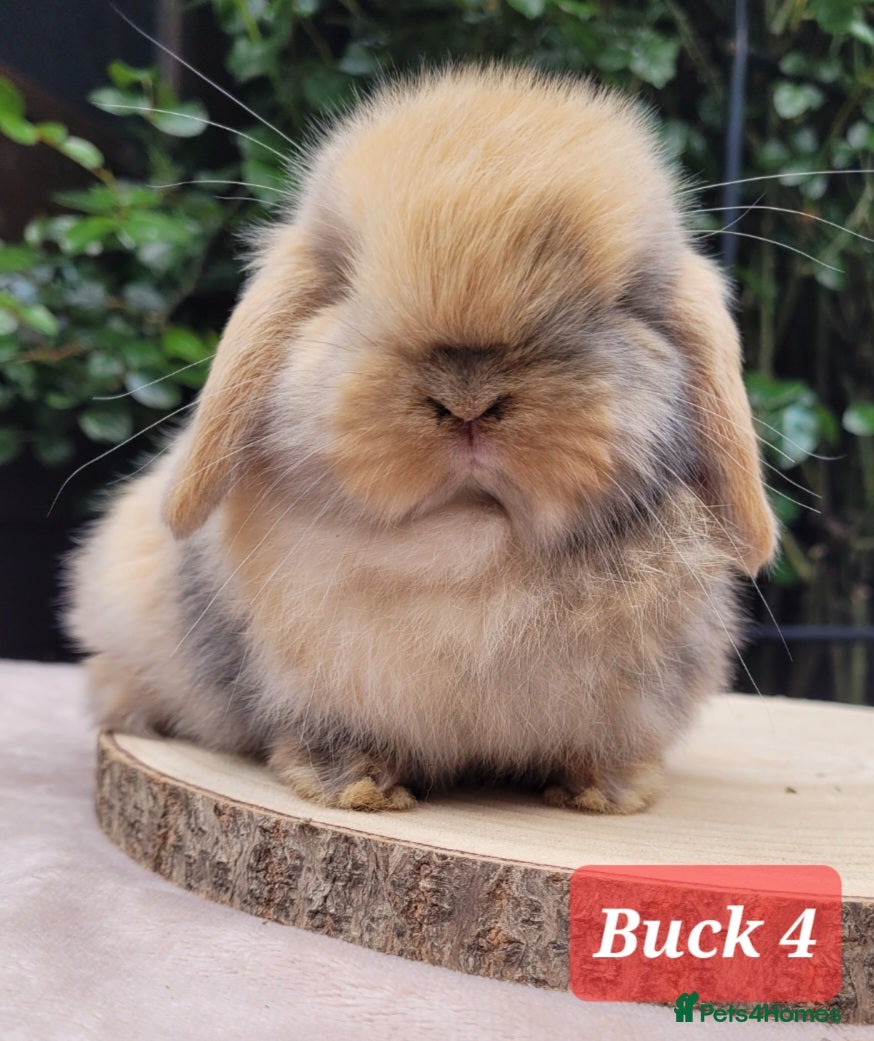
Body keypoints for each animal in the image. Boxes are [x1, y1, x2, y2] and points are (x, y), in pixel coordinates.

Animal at [66, 64, 777, 814]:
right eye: (343, 280)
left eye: (626, 300)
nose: (467, 401)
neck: (468, 543)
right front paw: (356, 786)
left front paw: (605, 793)